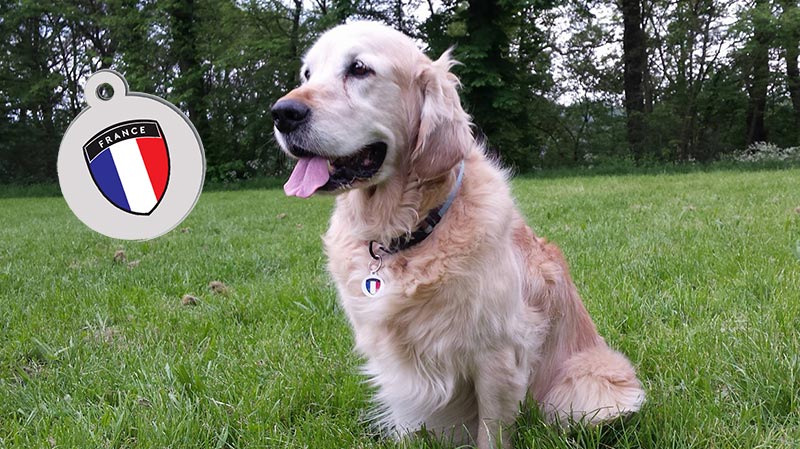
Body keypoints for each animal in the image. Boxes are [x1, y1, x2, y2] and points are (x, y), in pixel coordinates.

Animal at [272, 21, 648, 448]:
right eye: (307, 74)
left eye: (359, 69)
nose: (282, 114)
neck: (404, 234)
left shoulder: (497, 355)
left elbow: (491, 432)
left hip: (589, 386)